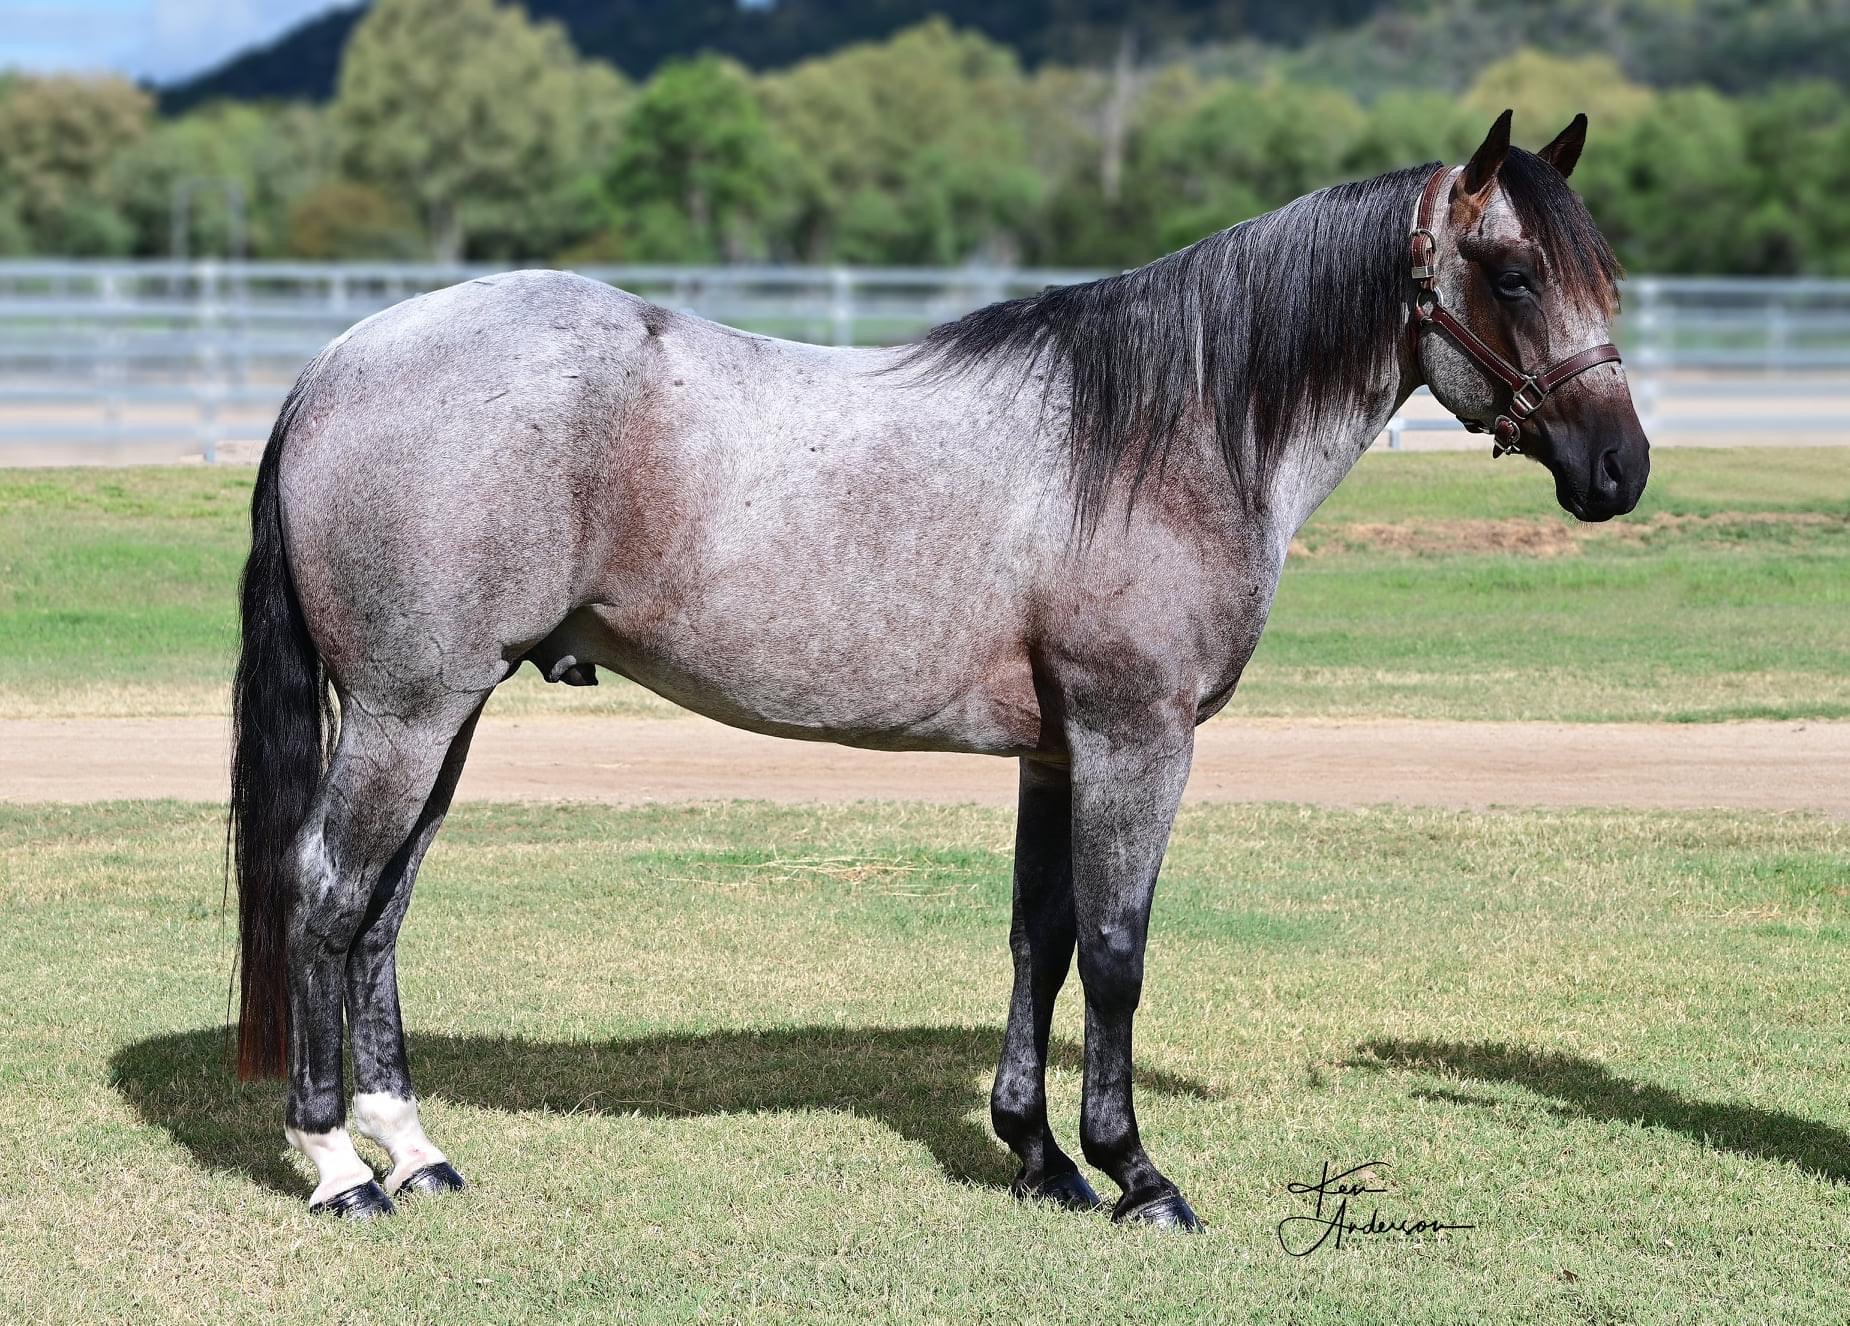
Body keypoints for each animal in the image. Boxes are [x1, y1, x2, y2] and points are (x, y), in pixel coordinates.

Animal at [229, 109, 1648, 1227]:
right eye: (1511, 273)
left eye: (1605, 278)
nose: (1617, 470)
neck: (1162, 435)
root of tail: (338, 362)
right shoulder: (1136, 740)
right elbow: (1118, 948)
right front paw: (1135, 1175)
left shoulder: (1055, 755)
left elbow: (1041, 941)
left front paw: (1038, 1158)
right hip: (409, 712)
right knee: (325, 892)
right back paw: (335, 1165)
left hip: (445, 713)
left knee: (382, 910)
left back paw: (413, 1151)